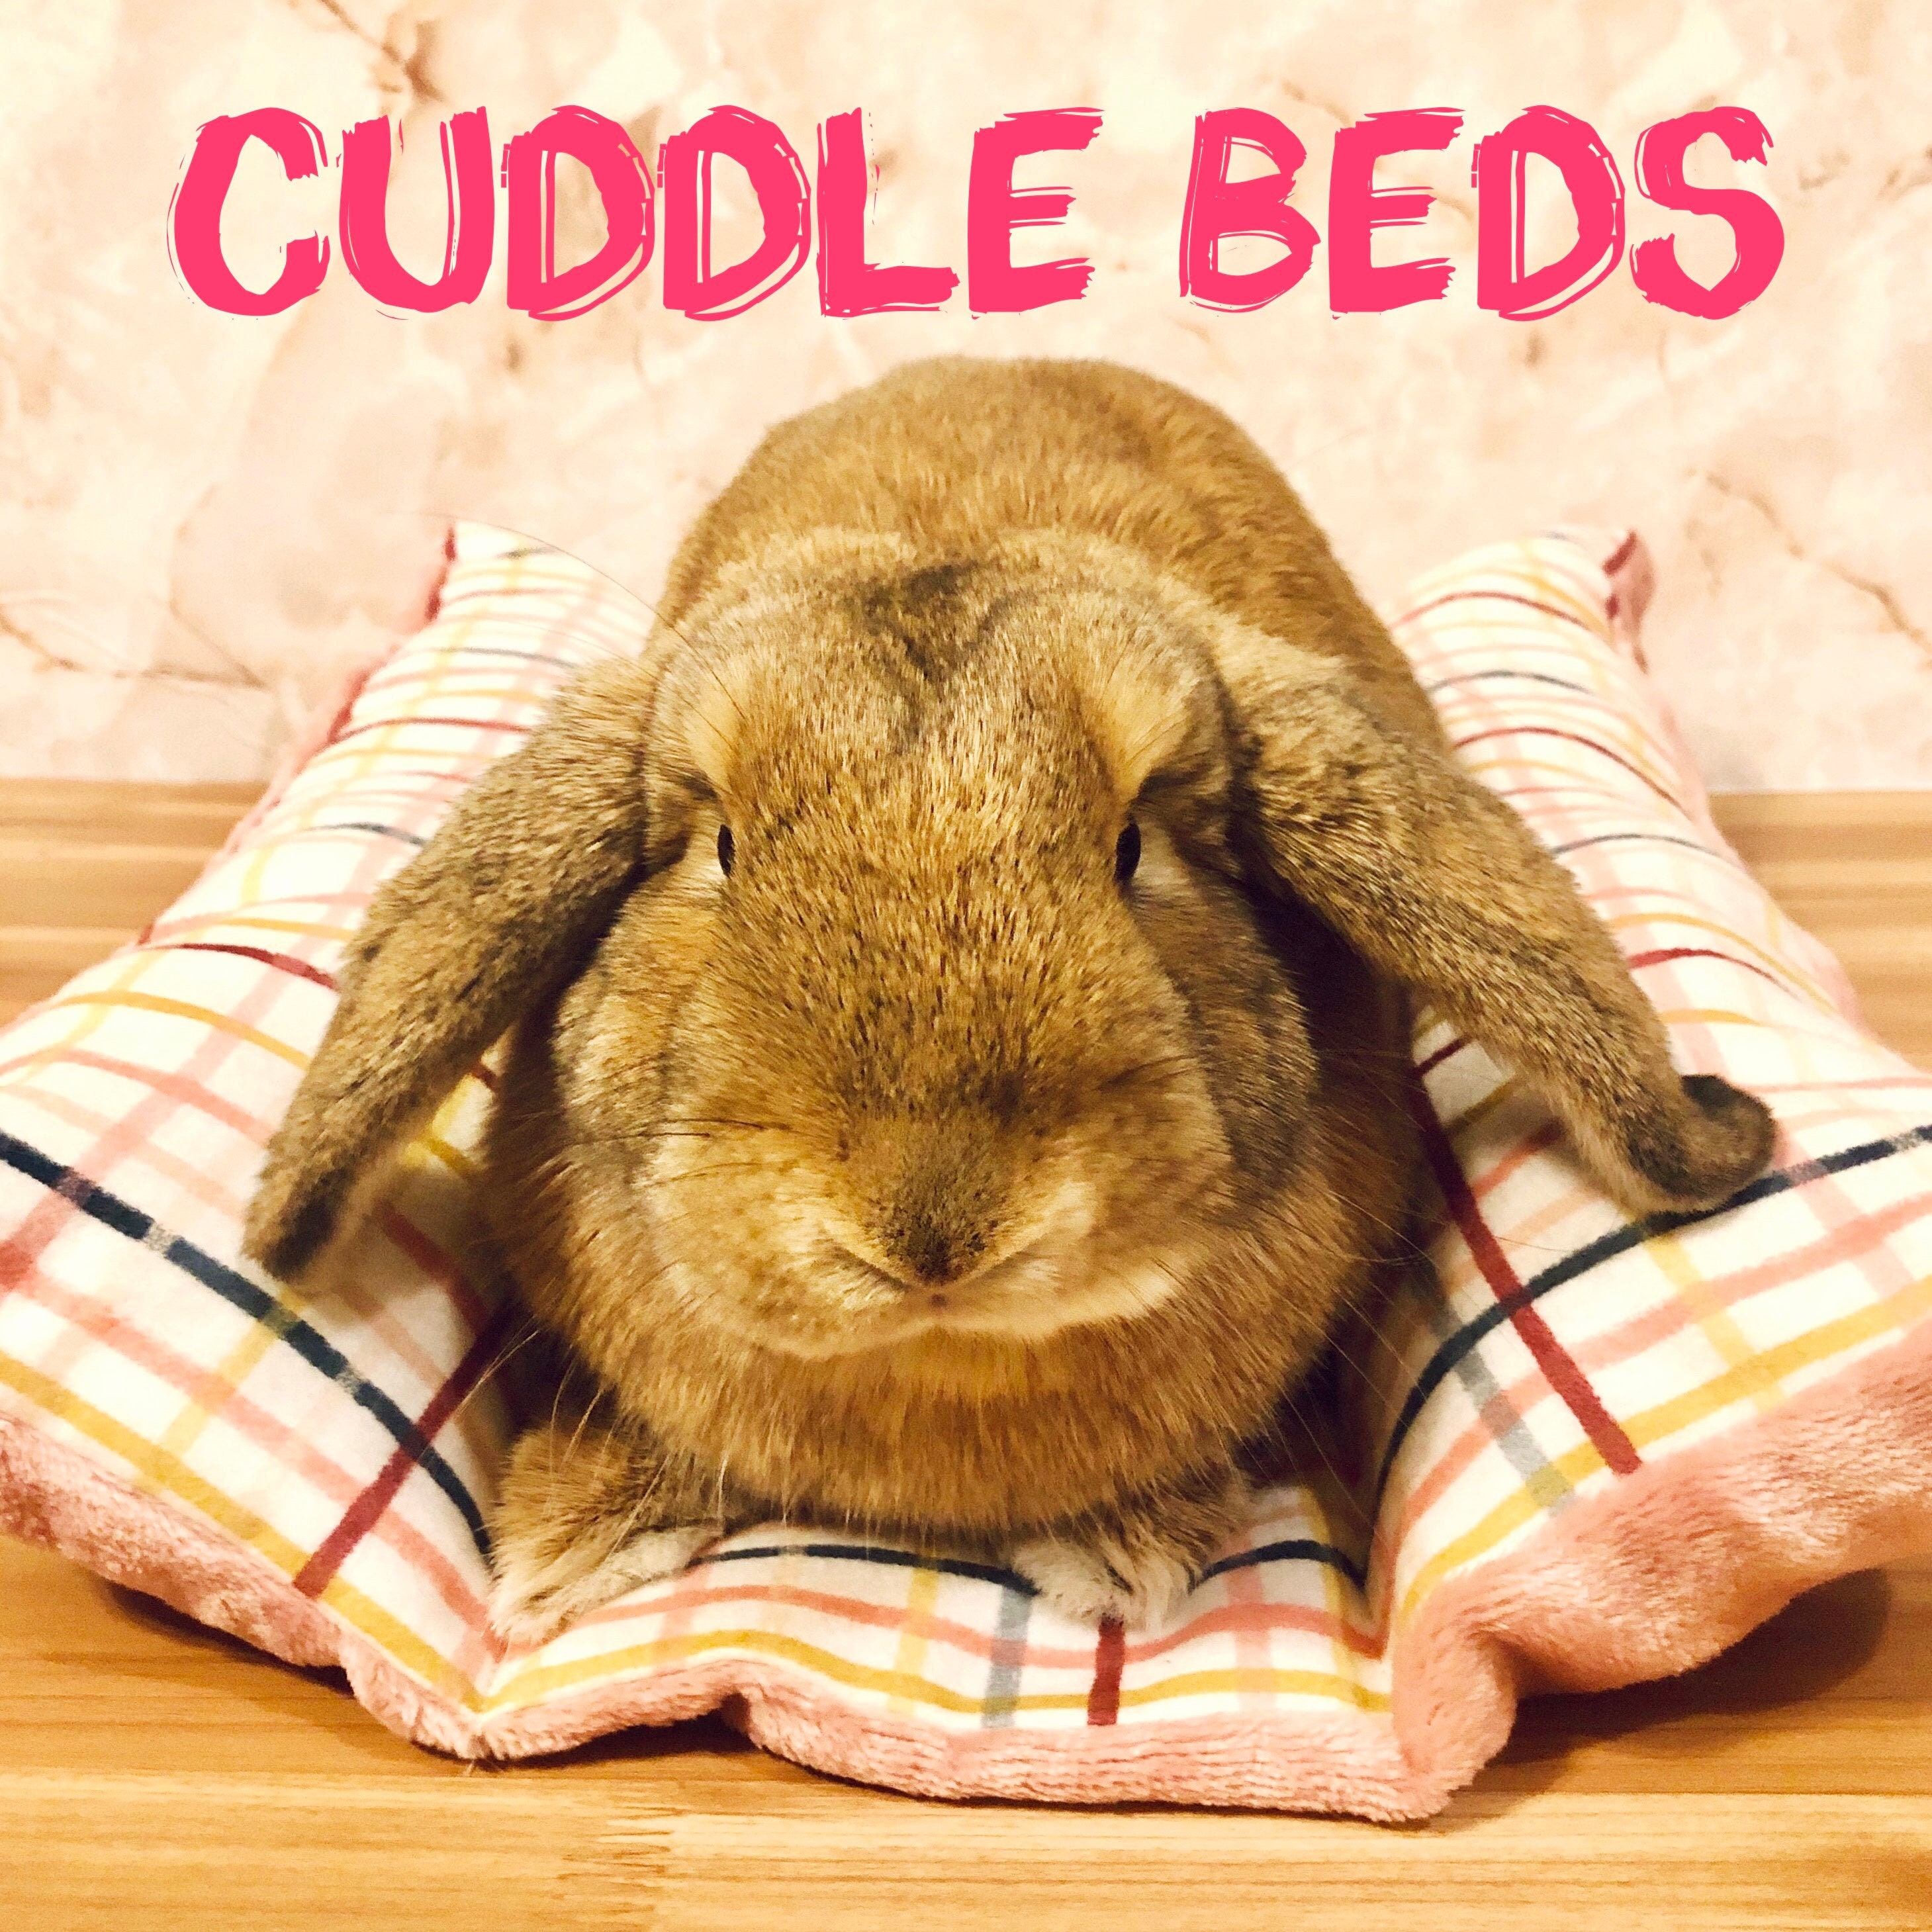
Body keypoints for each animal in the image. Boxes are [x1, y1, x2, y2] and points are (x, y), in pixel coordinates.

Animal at [242, 356, 1775, 1641]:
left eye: (1135, 845)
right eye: (718, 846)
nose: (933, 1220)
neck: (945, 1365)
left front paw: (1119, 1551)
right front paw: (571, 1548)